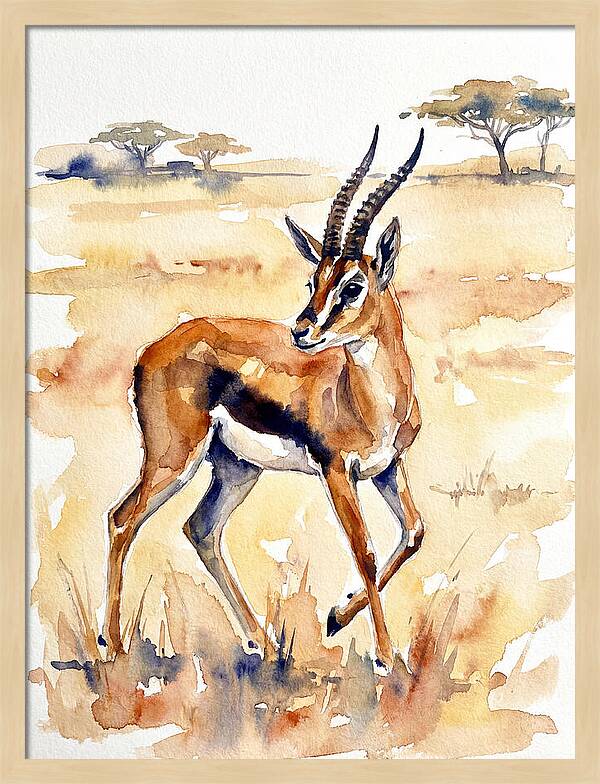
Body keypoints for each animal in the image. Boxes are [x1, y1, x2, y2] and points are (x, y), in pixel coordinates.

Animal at [104, 126, 426, 669]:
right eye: (314, 279)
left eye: (352, 285)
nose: (301, 331)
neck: (371, 400)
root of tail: (152, 349)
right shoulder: (337, 471)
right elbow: (364, 550)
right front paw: (385, 656)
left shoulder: (386, 467)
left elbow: (414, 532)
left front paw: (336, 617)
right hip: (173, 457)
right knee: (122, 520)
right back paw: (111, 646)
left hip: (236, 467)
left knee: (201, 529)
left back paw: (265, 642)